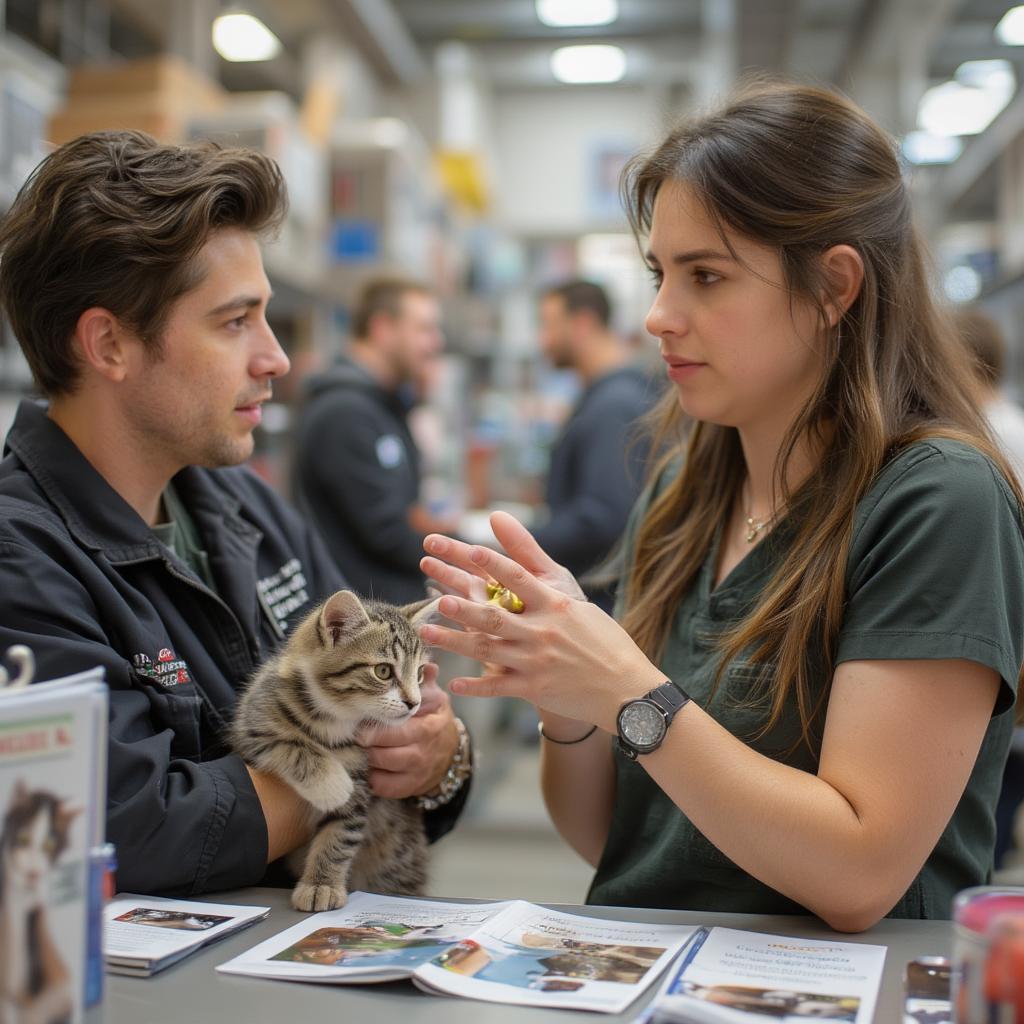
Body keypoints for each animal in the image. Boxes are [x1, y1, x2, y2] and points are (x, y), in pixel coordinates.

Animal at [232, 589, 440, 917]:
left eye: (419, 674)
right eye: (383, 671)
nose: (414, 703)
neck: (336, 716)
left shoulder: (364, 779)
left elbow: (341, 832)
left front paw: (322, 885)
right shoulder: (252, 726)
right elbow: (293, 744)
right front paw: (332, 784)